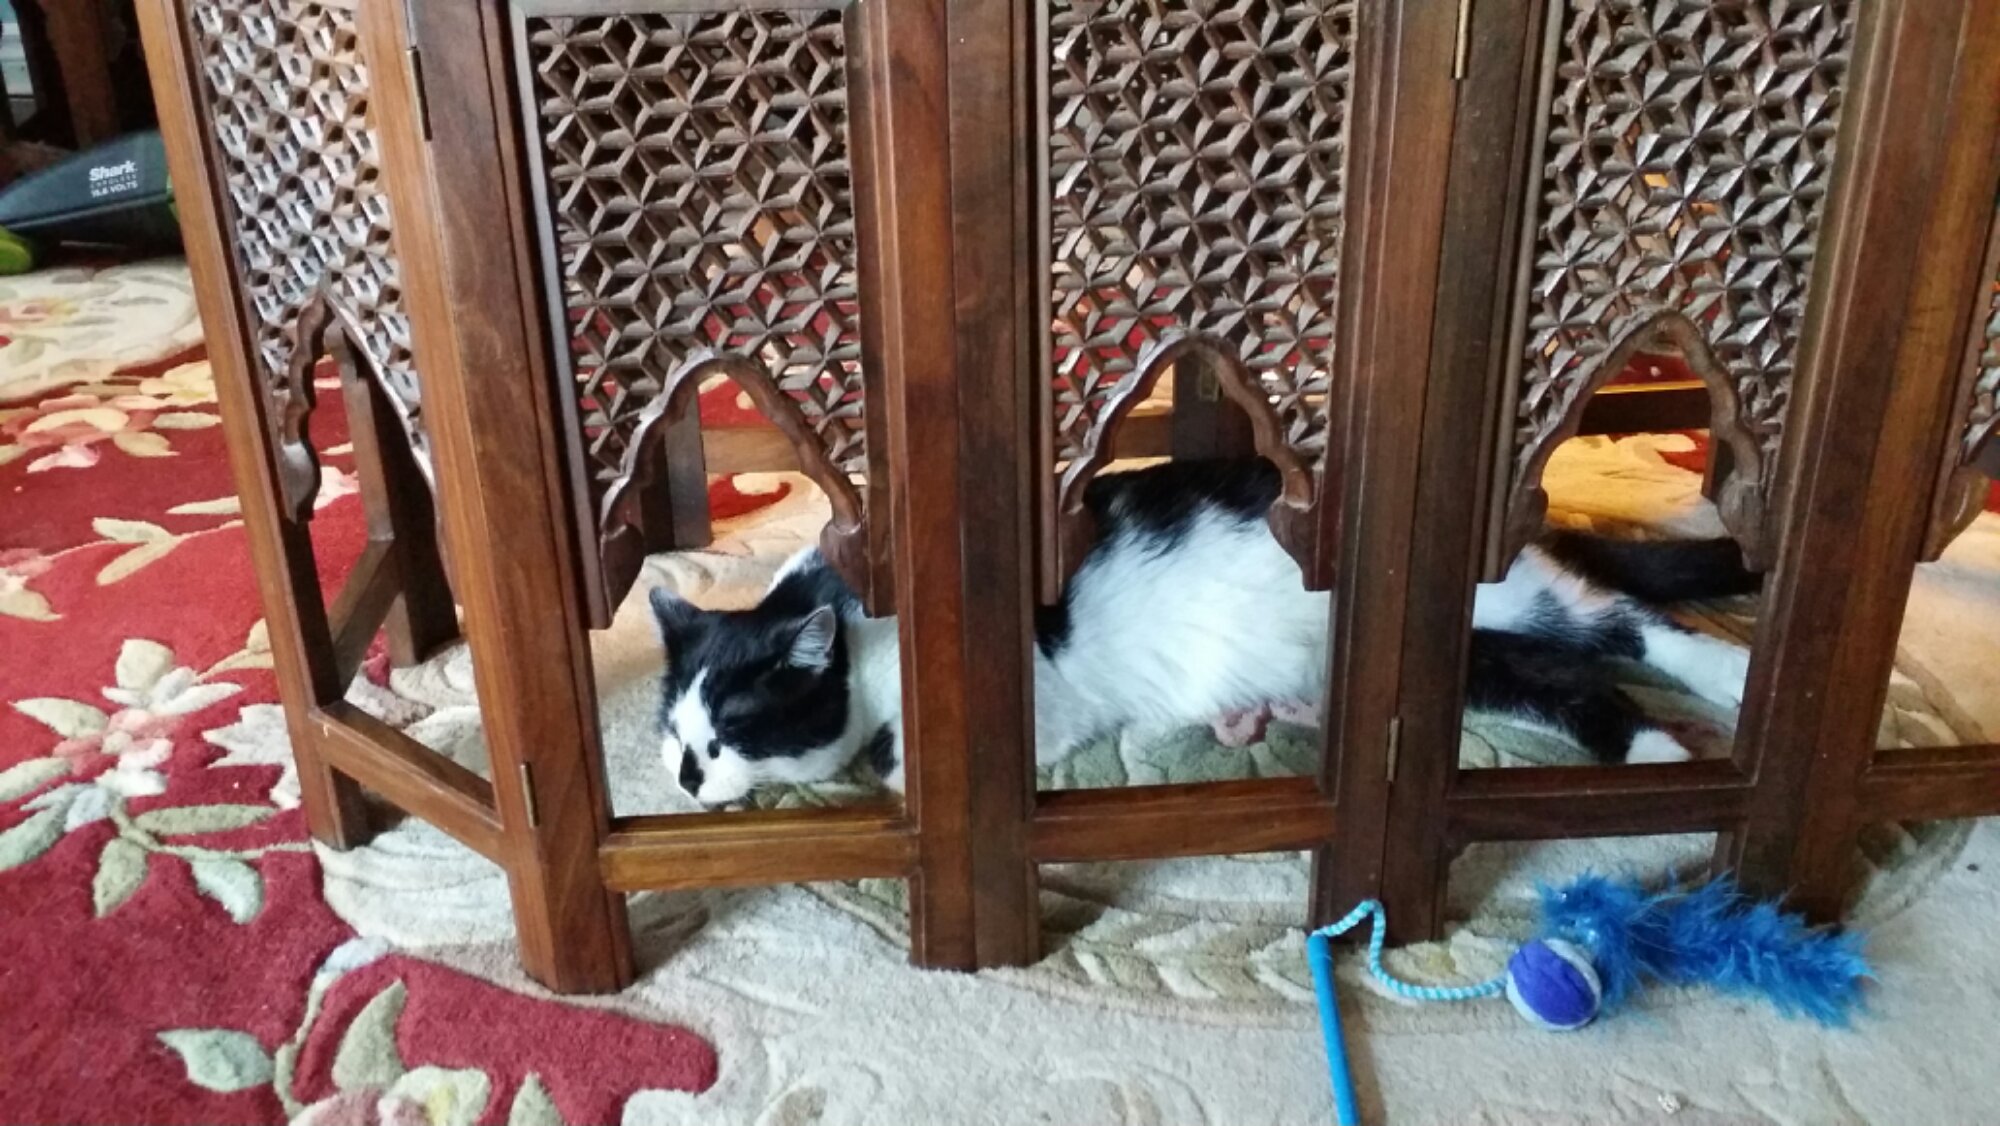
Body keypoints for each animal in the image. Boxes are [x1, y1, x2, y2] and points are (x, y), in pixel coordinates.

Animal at [651, 459, 1760, 805]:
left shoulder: (1034, 709)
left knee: (1631, 626)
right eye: (673, 735)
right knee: (1574, 682)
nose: (687, 781)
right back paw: (1658, 753)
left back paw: (1731, 684)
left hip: (1500, 600)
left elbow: (896, 764)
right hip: (1463, 665)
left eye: (733, 733)